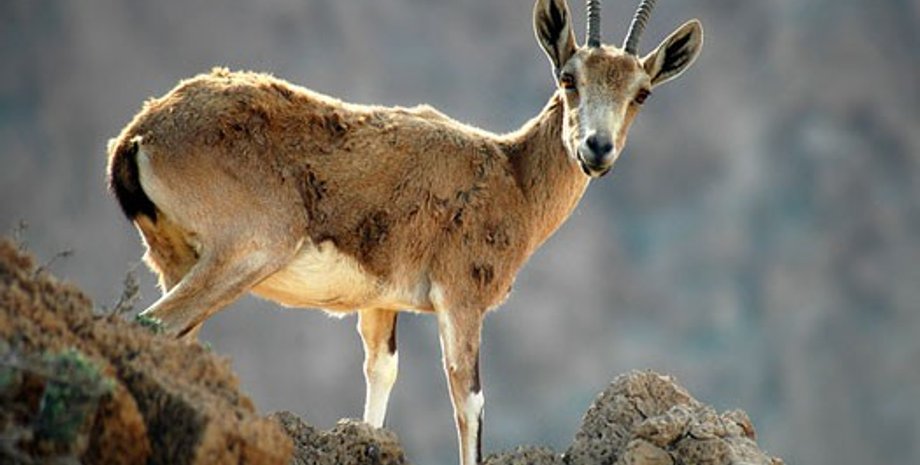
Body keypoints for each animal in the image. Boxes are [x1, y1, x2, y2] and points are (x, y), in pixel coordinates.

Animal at [106, 0, 702, 463]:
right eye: (569, 77)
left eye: (641, 92)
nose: (596, 149)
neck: (509, 174)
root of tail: (143, 132)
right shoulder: (461, 300)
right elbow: (469, 400)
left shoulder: (381, 301)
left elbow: (381, 374)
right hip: (247, 252)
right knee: (153, 323)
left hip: (177, 260)